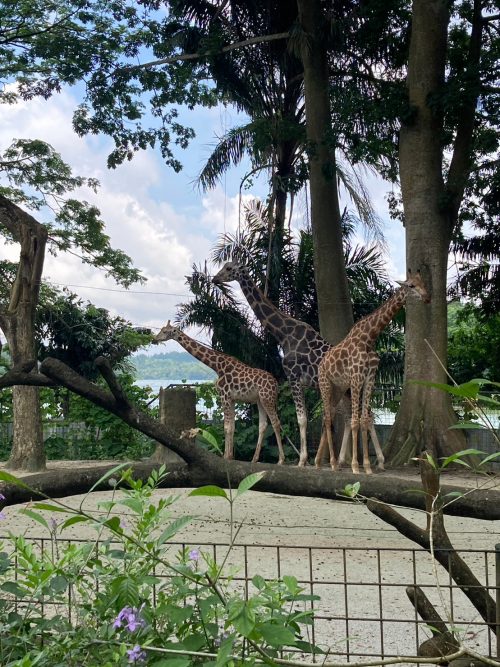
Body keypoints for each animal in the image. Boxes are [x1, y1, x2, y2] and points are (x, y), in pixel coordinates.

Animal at [152, 322, 286, 464]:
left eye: (165, 331)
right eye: (161, 330)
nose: (155, 339)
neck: (216, 366)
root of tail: (276, 385)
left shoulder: (224, 395)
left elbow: (226, 427)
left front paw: (226, 457)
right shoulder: (232, 399)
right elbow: (232, 427)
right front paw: (230, 456)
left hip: (267, 398)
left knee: (276, 423)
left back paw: (281, 460)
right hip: (260, 400)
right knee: (263, 425)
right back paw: (254, 460)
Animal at [212, 258, 378, 468]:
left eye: (229, 268)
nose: (214, 279)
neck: (284, 334)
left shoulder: (293, 377)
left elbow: (301, 419)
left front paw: (302, 460)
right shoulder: (302, 382)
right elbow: (305, 418)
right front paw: (306, 459)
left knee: (363, 415)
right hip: (347, 389)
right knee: (360, 416)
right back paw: (359, 461)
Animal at [318, 272, 432, 474]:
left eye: (423, 283)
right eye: (411, 286)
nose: (427, 298)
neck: (369, 338)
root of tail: (320, 365)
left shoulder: (369, 378)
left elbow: (364, 419)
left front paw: (367, 466)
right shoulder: (356, 377)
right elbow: (355, 421)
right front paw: (356, 467)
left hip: (339, 389)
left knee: (327, 416)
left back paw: (325, 463)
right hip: (325, 384)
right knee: (328, 417)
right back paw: (331, 463)